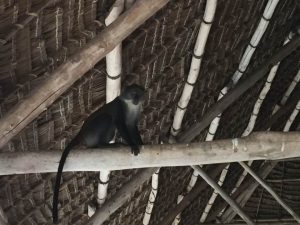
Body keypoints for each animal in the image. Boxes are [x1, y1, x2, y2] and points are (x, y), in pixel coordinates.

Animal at [52, 84, 145, 223]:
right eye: (133, 93)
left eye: (139, 94)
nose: (136, 99)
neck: (130, 106)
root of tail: (81, 134)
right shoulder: (118, 107)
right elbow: (120, 124)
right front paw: (132, 145)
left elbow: (132, 126)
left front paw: (141, 143)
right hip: (92, 131)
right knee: (108, 118)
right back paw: (104, 145)